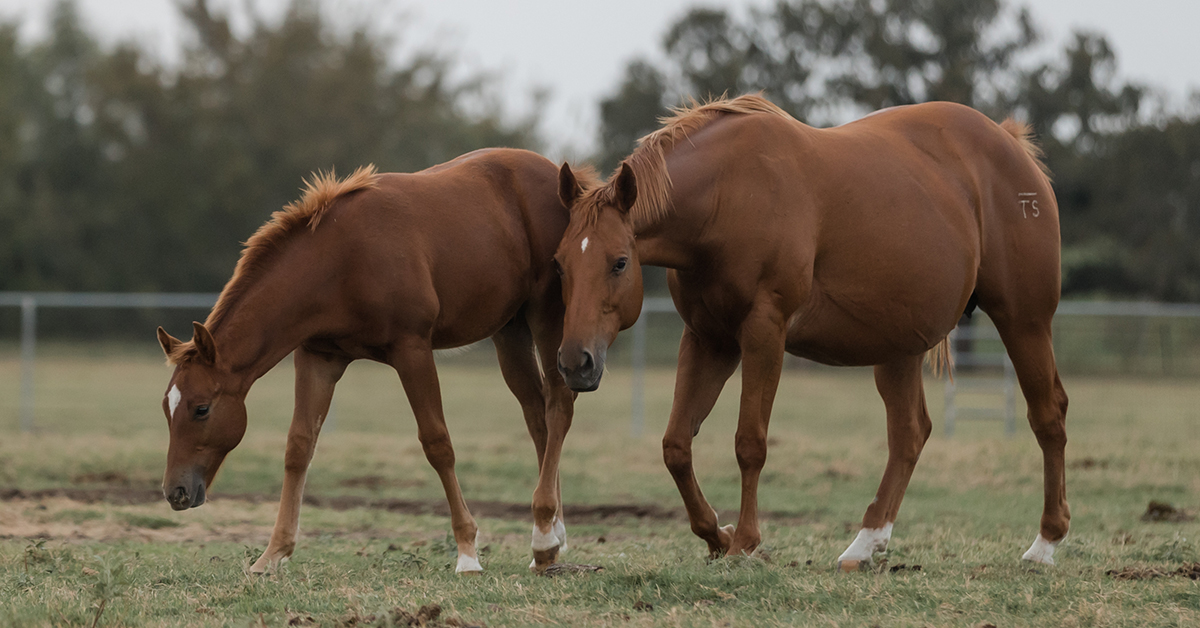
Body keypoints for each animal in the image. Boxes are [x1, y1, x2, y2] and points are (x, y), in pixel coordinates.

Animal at [156, 148, 579, 574]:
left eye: (201, 408)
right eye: (166, 408)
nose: (175, 491)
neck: (341, 259)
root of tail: (557, 174)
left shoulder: (412, 350)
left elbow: (437, 443)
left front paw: (467, 552)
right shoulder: (318, 357)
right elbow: (299, 447)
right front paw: (272, 554)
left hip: (546, 318)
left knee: (558, 405)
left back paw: (545, 537)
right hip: (510, 330)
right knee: (537, 417)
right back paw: (551, 536)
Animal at [553, 94, 1069, 570]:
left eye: (620, 262)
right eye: (560, 263)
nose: (576, 363)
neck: (727, 194)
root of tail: (1010, 144)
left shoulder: (764, 332)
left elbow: (750, 443)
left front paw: (744, 542)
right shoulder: (708, 338)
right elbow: (676, 446)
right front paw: (717, 535)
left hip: (1023, 322)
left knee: (1048, 414)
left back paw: (1045, 544)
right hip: (898, 346)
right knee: (909, 433)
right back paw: (865, 544)